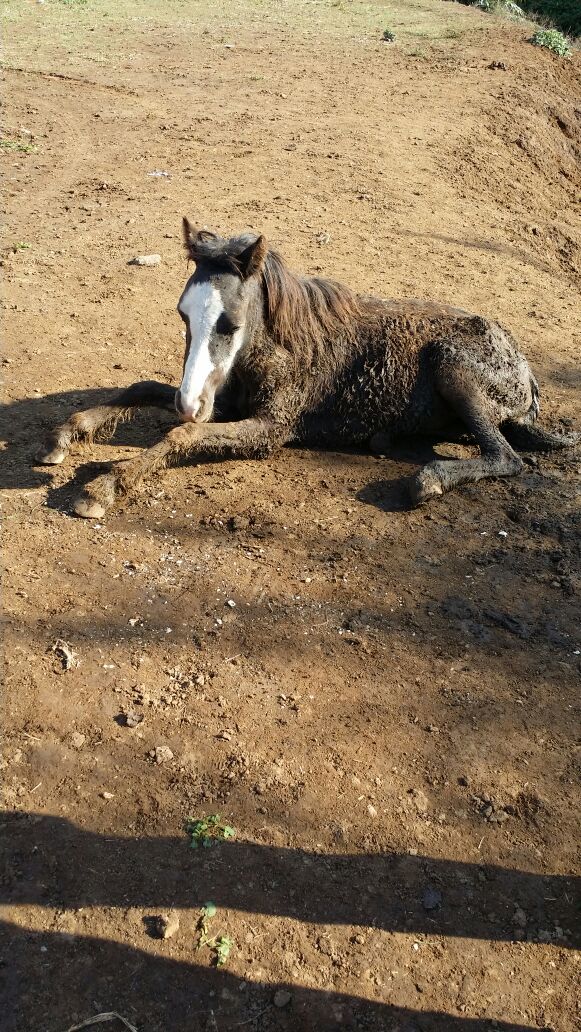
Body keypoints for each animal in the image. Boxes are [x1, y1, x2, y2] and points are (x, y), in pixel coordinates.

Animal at [37, 219, 578, 518]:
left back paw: (430, 478)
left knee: (507, 457)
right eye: (183, 315)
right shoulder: (221, 402)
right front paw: (66, 434)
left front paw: (102, 487)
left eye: (230, 323)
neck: (280, 349)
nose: (190, 404)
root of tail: (527, 379)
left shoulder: (270, 429)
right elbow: (142, 387)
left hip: (454, 370)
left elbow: (179, 436)